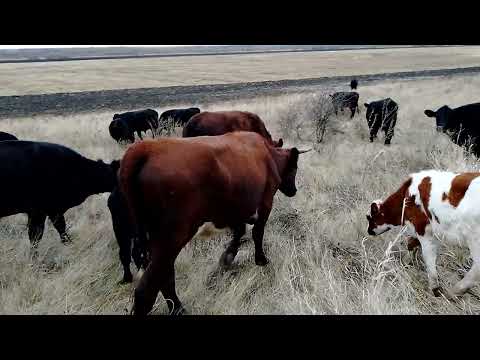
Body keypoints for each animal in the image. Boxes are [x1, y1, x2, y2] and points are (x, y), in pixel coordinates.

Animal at [118, 131, 310, 316]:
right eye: (294, 168)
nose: (293, 190)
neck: (268, 154)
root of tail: (146, 148)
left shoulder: (235, 211)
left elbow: (239, 231)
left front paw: (228, 257)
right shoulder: (265, 202)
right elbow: (257, 232)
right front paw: (261, 259)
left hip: (156, 240)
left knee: (165, 277)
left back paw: (177, 308)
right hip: (172, 238)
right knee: (146, 289)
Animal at [366, 170, 480, 300]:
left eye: (369, 217)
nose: (369, 231)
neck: (406, 197)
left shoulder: (423, 230)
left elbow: (429, 259)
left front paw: (435, 289)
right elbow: (411, 244)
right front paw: (406, 263)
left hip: (474, 239)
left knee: (477, 268)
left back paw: (454, 292)